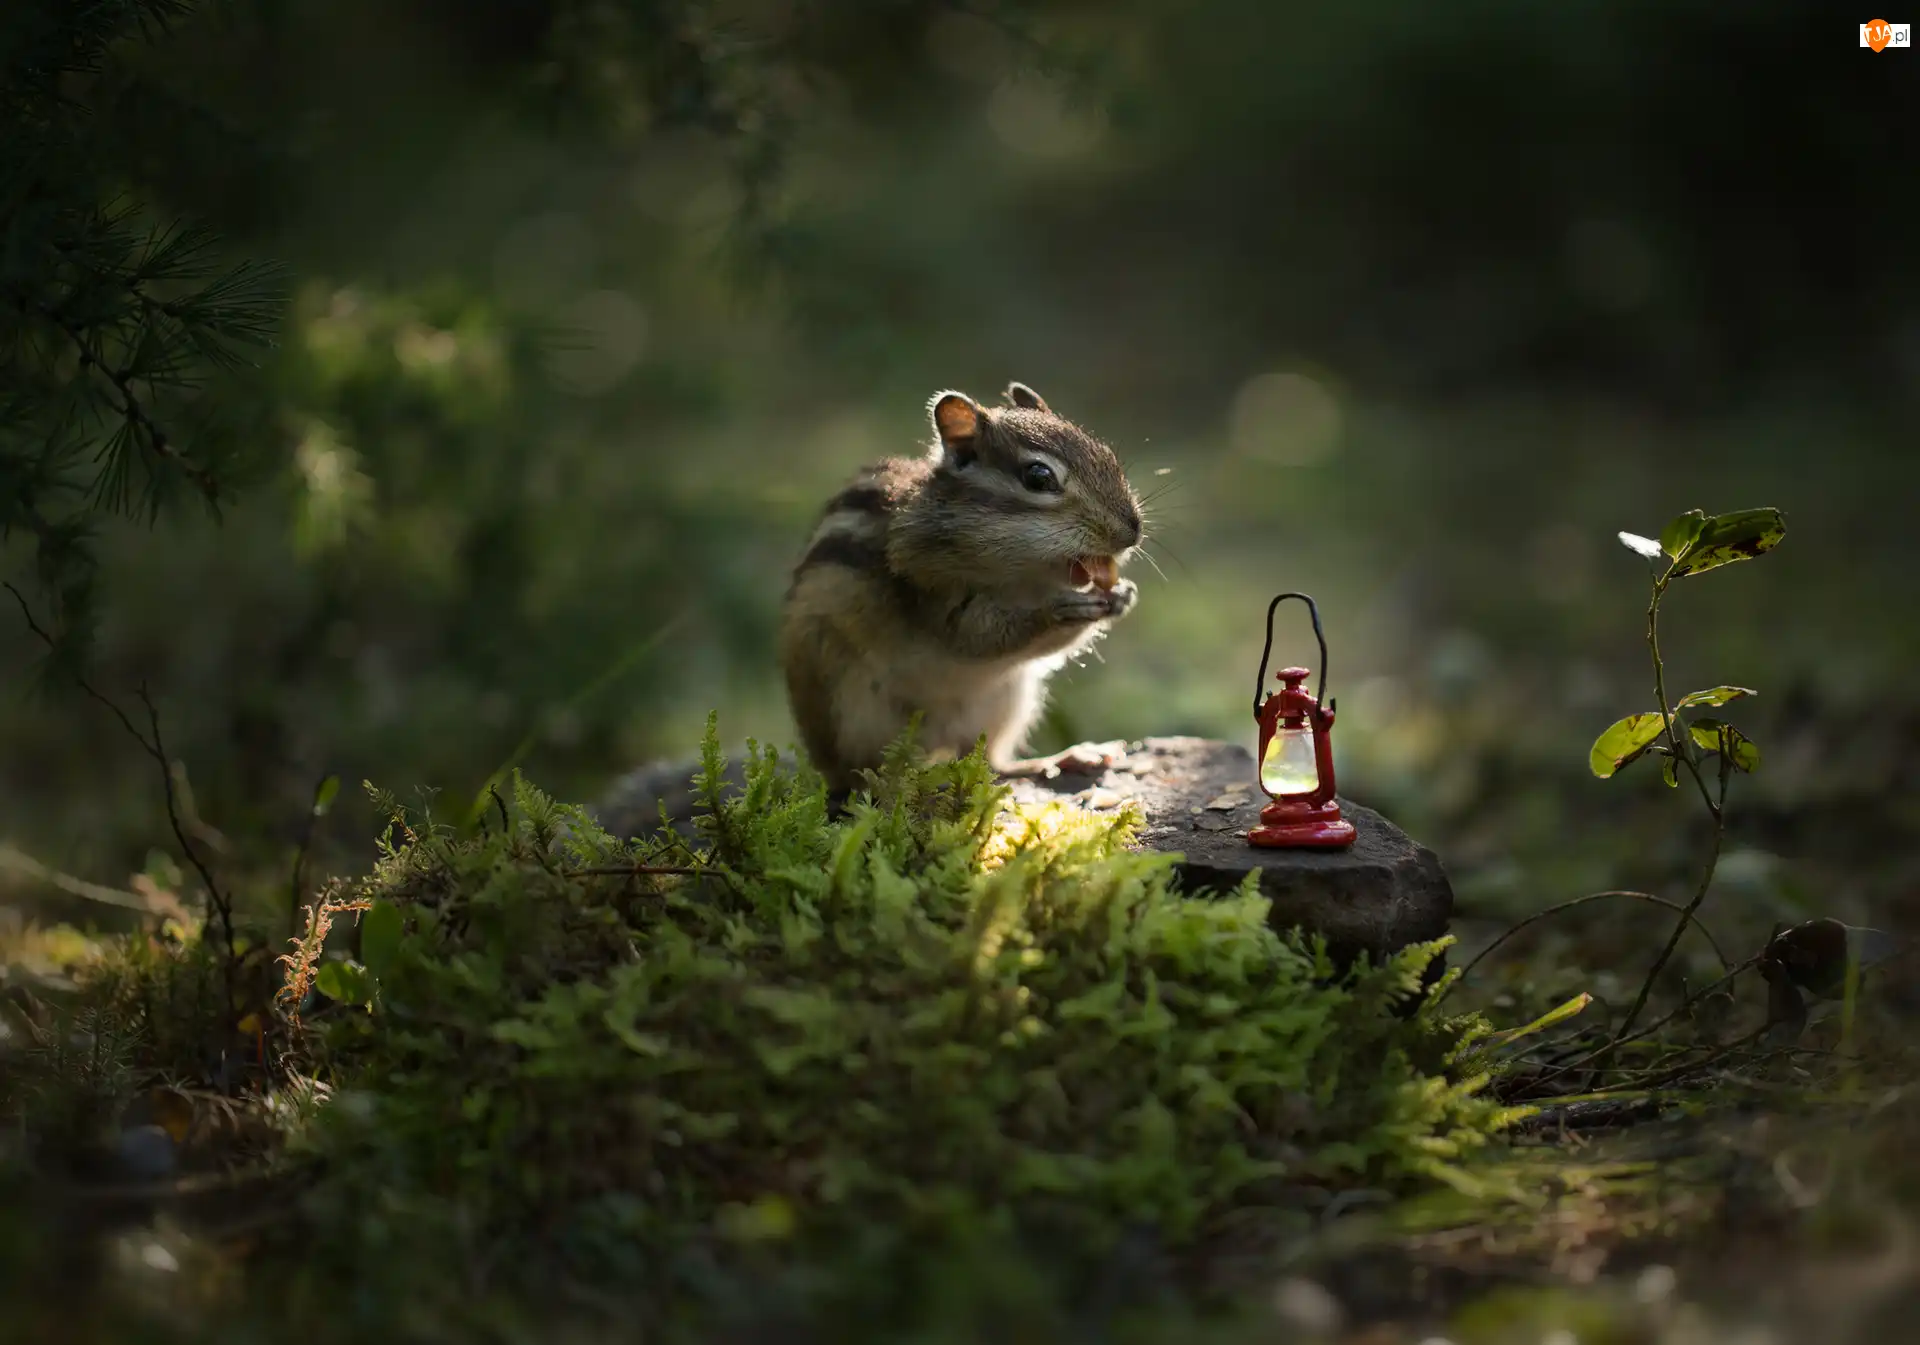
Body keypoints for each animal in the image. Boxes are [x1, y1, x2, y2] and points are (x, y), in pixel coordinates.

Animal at [779, 381, 1144, 795]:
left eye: (1108, 457)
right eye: (1038, 477)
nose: (1133, 531)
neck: (1022, 580)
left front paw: (1121, 597)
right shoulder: (927, 589)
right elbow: (976, 637)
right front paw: (1062, 610)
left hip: (1007, 702)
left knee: (991, 760)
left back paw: (1062, 759)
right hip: (850, 711)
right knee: (859, 776)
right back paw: (894, 785)